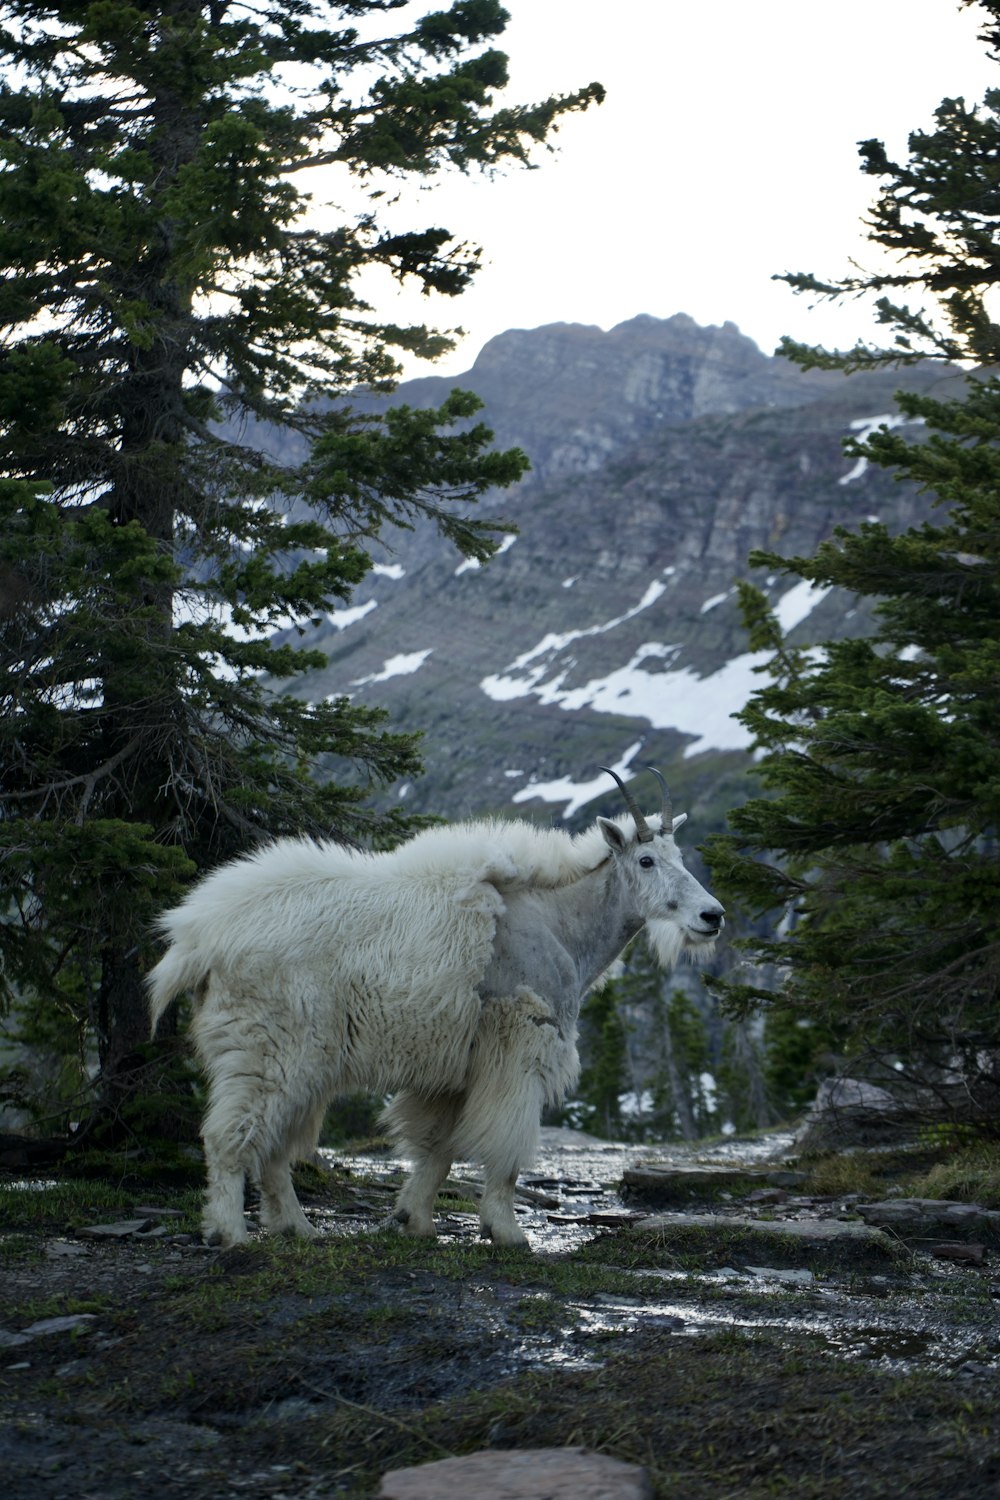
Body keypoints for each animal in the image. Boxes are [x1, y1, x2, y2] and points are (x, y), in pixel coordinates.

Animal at [144, 768, 722, 1248]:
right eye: (646, 860)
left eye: (682, 858)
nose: (711, 916)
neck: (560, 923)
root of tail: (197, 938)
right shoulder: (519, 1043)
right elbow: (505, 1146)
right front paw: (507, 1232)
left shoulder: (455, 1066)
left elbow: (438, 1147)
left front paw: (413, 1220)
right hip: (269, 1045)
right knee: (230, 1136)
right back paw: (229, 1233)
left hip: (301, 1057)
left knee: (277, 1143)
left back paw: (297, 1227)